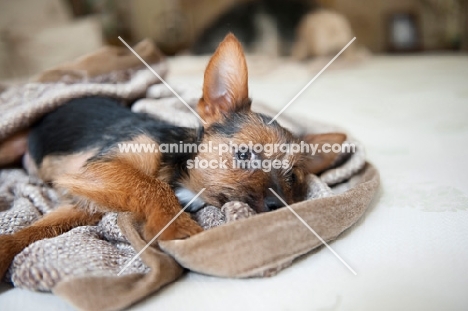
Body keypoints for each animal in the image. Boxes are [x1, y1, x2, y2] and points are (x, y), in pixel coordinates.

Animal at [0, 34, 344, 280]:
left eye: (292, 178)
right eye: (244, 154)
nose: (279, 206)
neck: (182, 176)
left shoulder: (84, 203)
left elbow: (35, 231)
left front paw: (5, 249)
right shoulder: (101, 167)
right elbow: (152, 185)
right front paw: (176, 226)